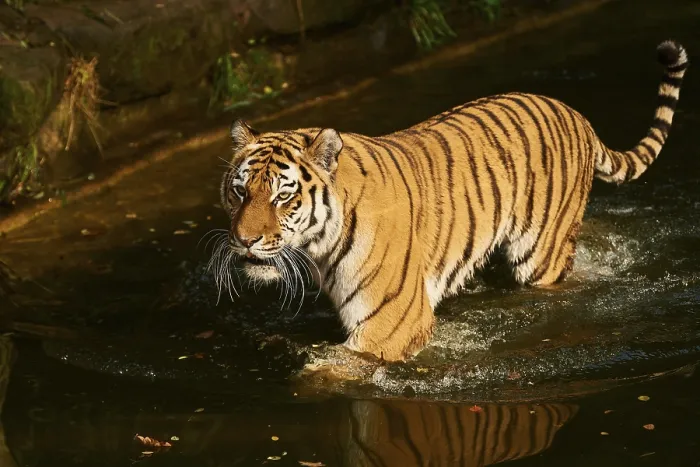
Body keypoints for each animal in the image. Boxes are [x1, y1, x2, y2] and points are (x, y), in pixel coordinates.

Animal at [216, 40, 688, 362]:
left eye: (283, 196)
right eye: (240, 191)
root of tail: (577, 114)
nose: (245, 241)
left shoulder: (390, 325)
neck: (319, 248)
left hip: (541, 254)